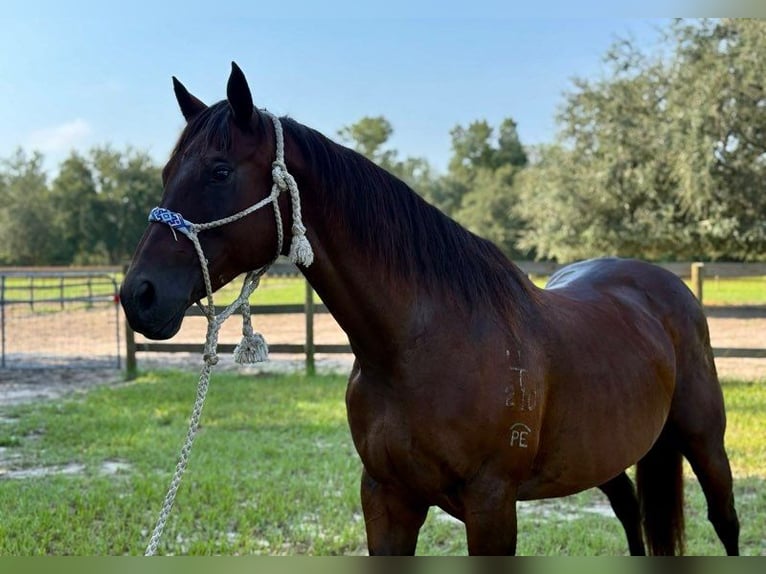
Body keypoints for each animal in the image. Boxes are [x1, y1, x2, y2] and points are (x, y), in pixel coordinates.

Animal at [120, 62, 740, 555]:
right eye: (166, 173)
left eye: (220, 171)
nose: (137, 296)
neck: (419, 347)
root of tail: (662, 284)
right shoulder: (386, 498)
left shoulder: (492, 506)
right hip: (602, 454)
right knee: (632, 513)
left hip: (704, 439)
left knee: (725, 520)